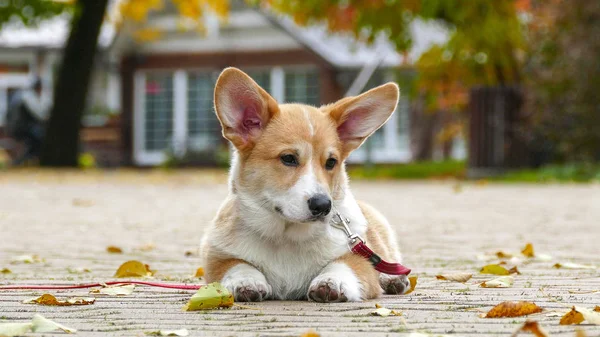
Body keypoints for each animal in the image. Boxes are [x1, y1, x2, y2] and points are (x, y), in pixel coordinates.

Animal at [199, 67, 410, 300]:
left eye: (331, 162)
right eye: (288, 158)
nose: (323, 205)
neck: (286, 236)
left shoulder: (358, 258)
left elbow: (343, 265)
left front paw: (331, 281)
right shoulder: (216, 258)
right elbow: (238, 265)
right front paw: (246, 281)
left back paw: (393, 279)